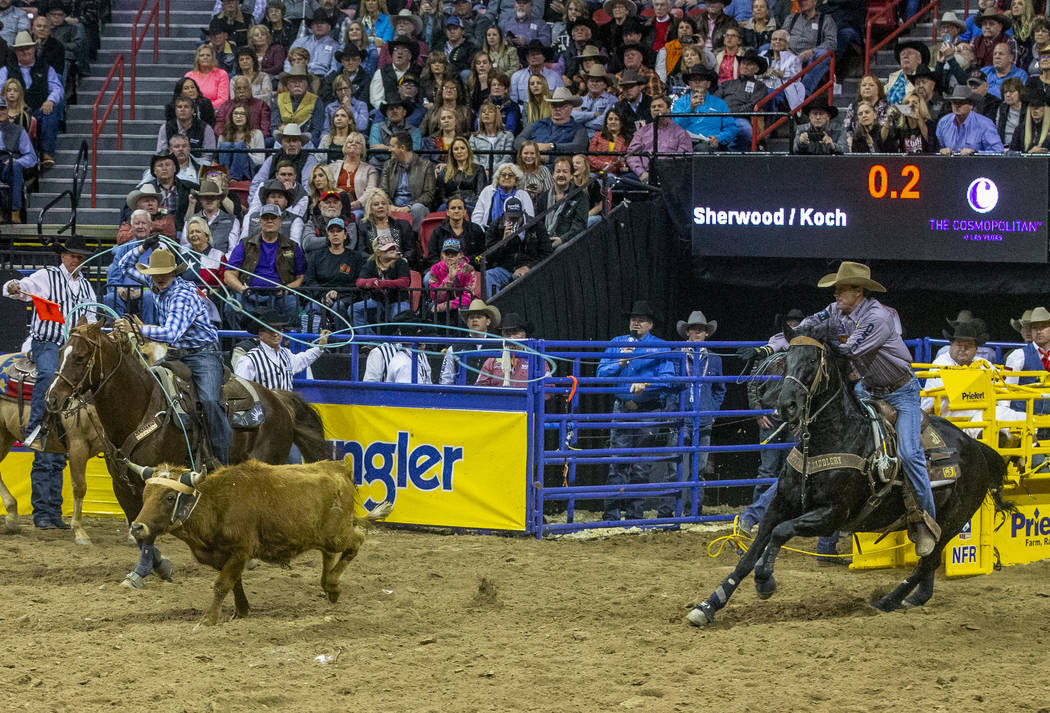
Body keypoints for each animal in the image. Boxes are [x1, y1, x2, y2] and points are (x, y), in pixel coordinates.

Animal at [684, 321, 1012, 625]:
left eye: (813, 361)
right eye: (786, 359)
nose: (786, 405)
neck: (830, 436)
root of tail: (976, 447)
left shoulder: (832, 514)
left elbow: (780, 532)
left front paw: (765, 581)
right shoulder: (780, 504)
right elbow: (752, 552)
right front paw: (708, 605)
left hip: (955, 519)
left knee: (928, 559)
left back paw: (888, 601)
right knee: (928, 560)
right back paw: (915, 598)